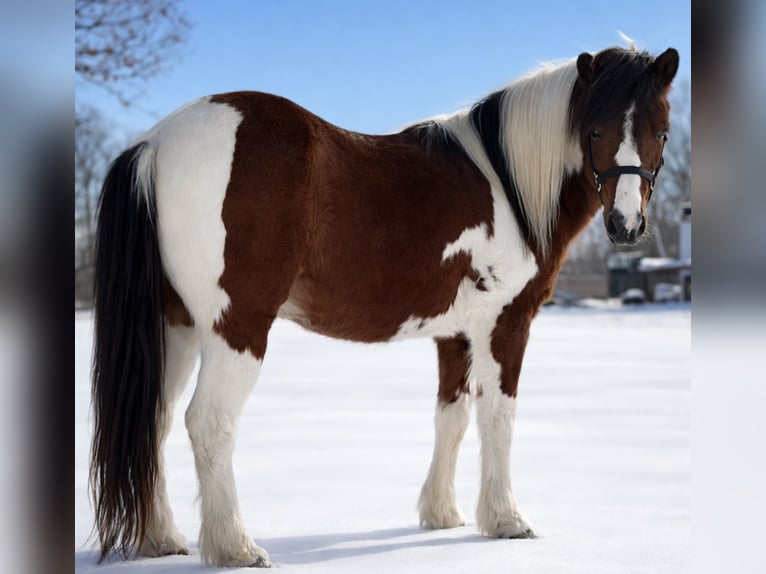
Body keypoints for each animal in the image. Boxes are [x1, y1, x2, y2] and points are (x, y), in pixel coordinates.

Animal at [90, 45, 679, 567]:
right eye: (595, 130)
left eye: (661, 132)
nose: (625, 226)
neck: (508, 183)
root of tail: (155, 144)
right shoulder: (504, 322)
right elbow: (498, 417)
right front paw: (507, 521)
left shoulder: (454, 334)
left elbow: (451, 417)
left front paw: (442, 515)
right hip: (237, 325)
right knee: (209, 423)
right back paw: (237, 548)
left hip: (177, 327)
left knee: (156, 420)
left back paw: (162, 539)